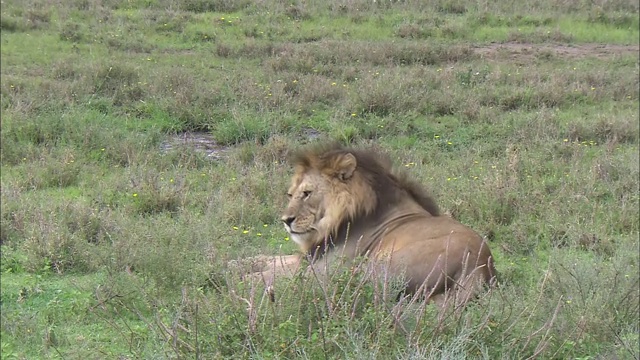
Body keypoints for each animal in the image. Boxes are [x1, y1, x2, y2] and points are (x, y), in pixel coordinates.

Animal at [240, 143, 496, 306]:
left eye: (307, 193)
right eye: (290, 194)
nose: (286, 220)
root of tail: (480, 265)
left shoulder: (326, 265)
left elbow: (277, 271)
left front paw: (241, 278)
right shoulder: (312, 257)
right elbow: (265, 259)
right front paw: (236, 265)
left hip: (372, 267)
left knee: (319, 286)